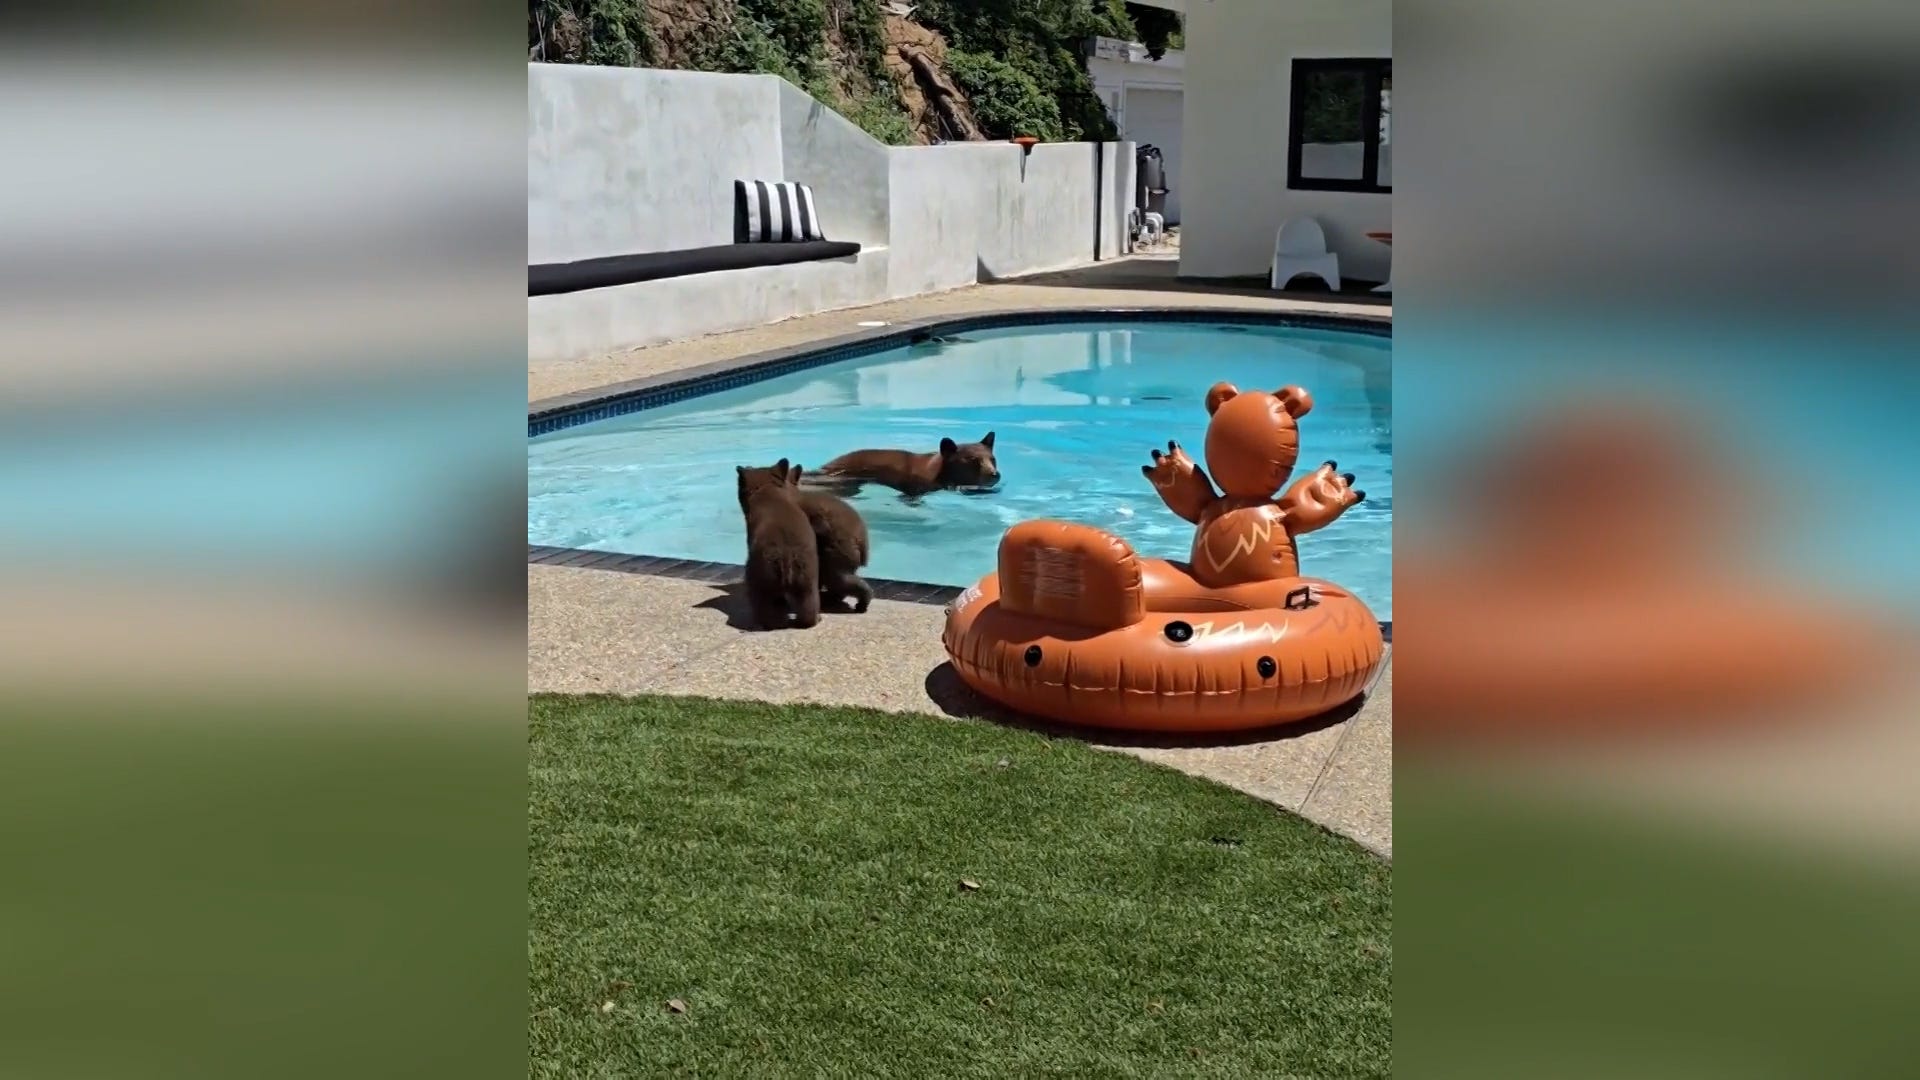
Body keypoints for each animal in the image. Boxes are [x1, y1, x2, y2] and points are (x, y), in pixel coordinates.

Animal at [735, 458, 821, 630]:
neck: (767, 489)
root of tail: (786, 555)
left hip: (762, 578)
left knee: (767, 606)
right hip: (807, 577)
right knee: (808, 604)